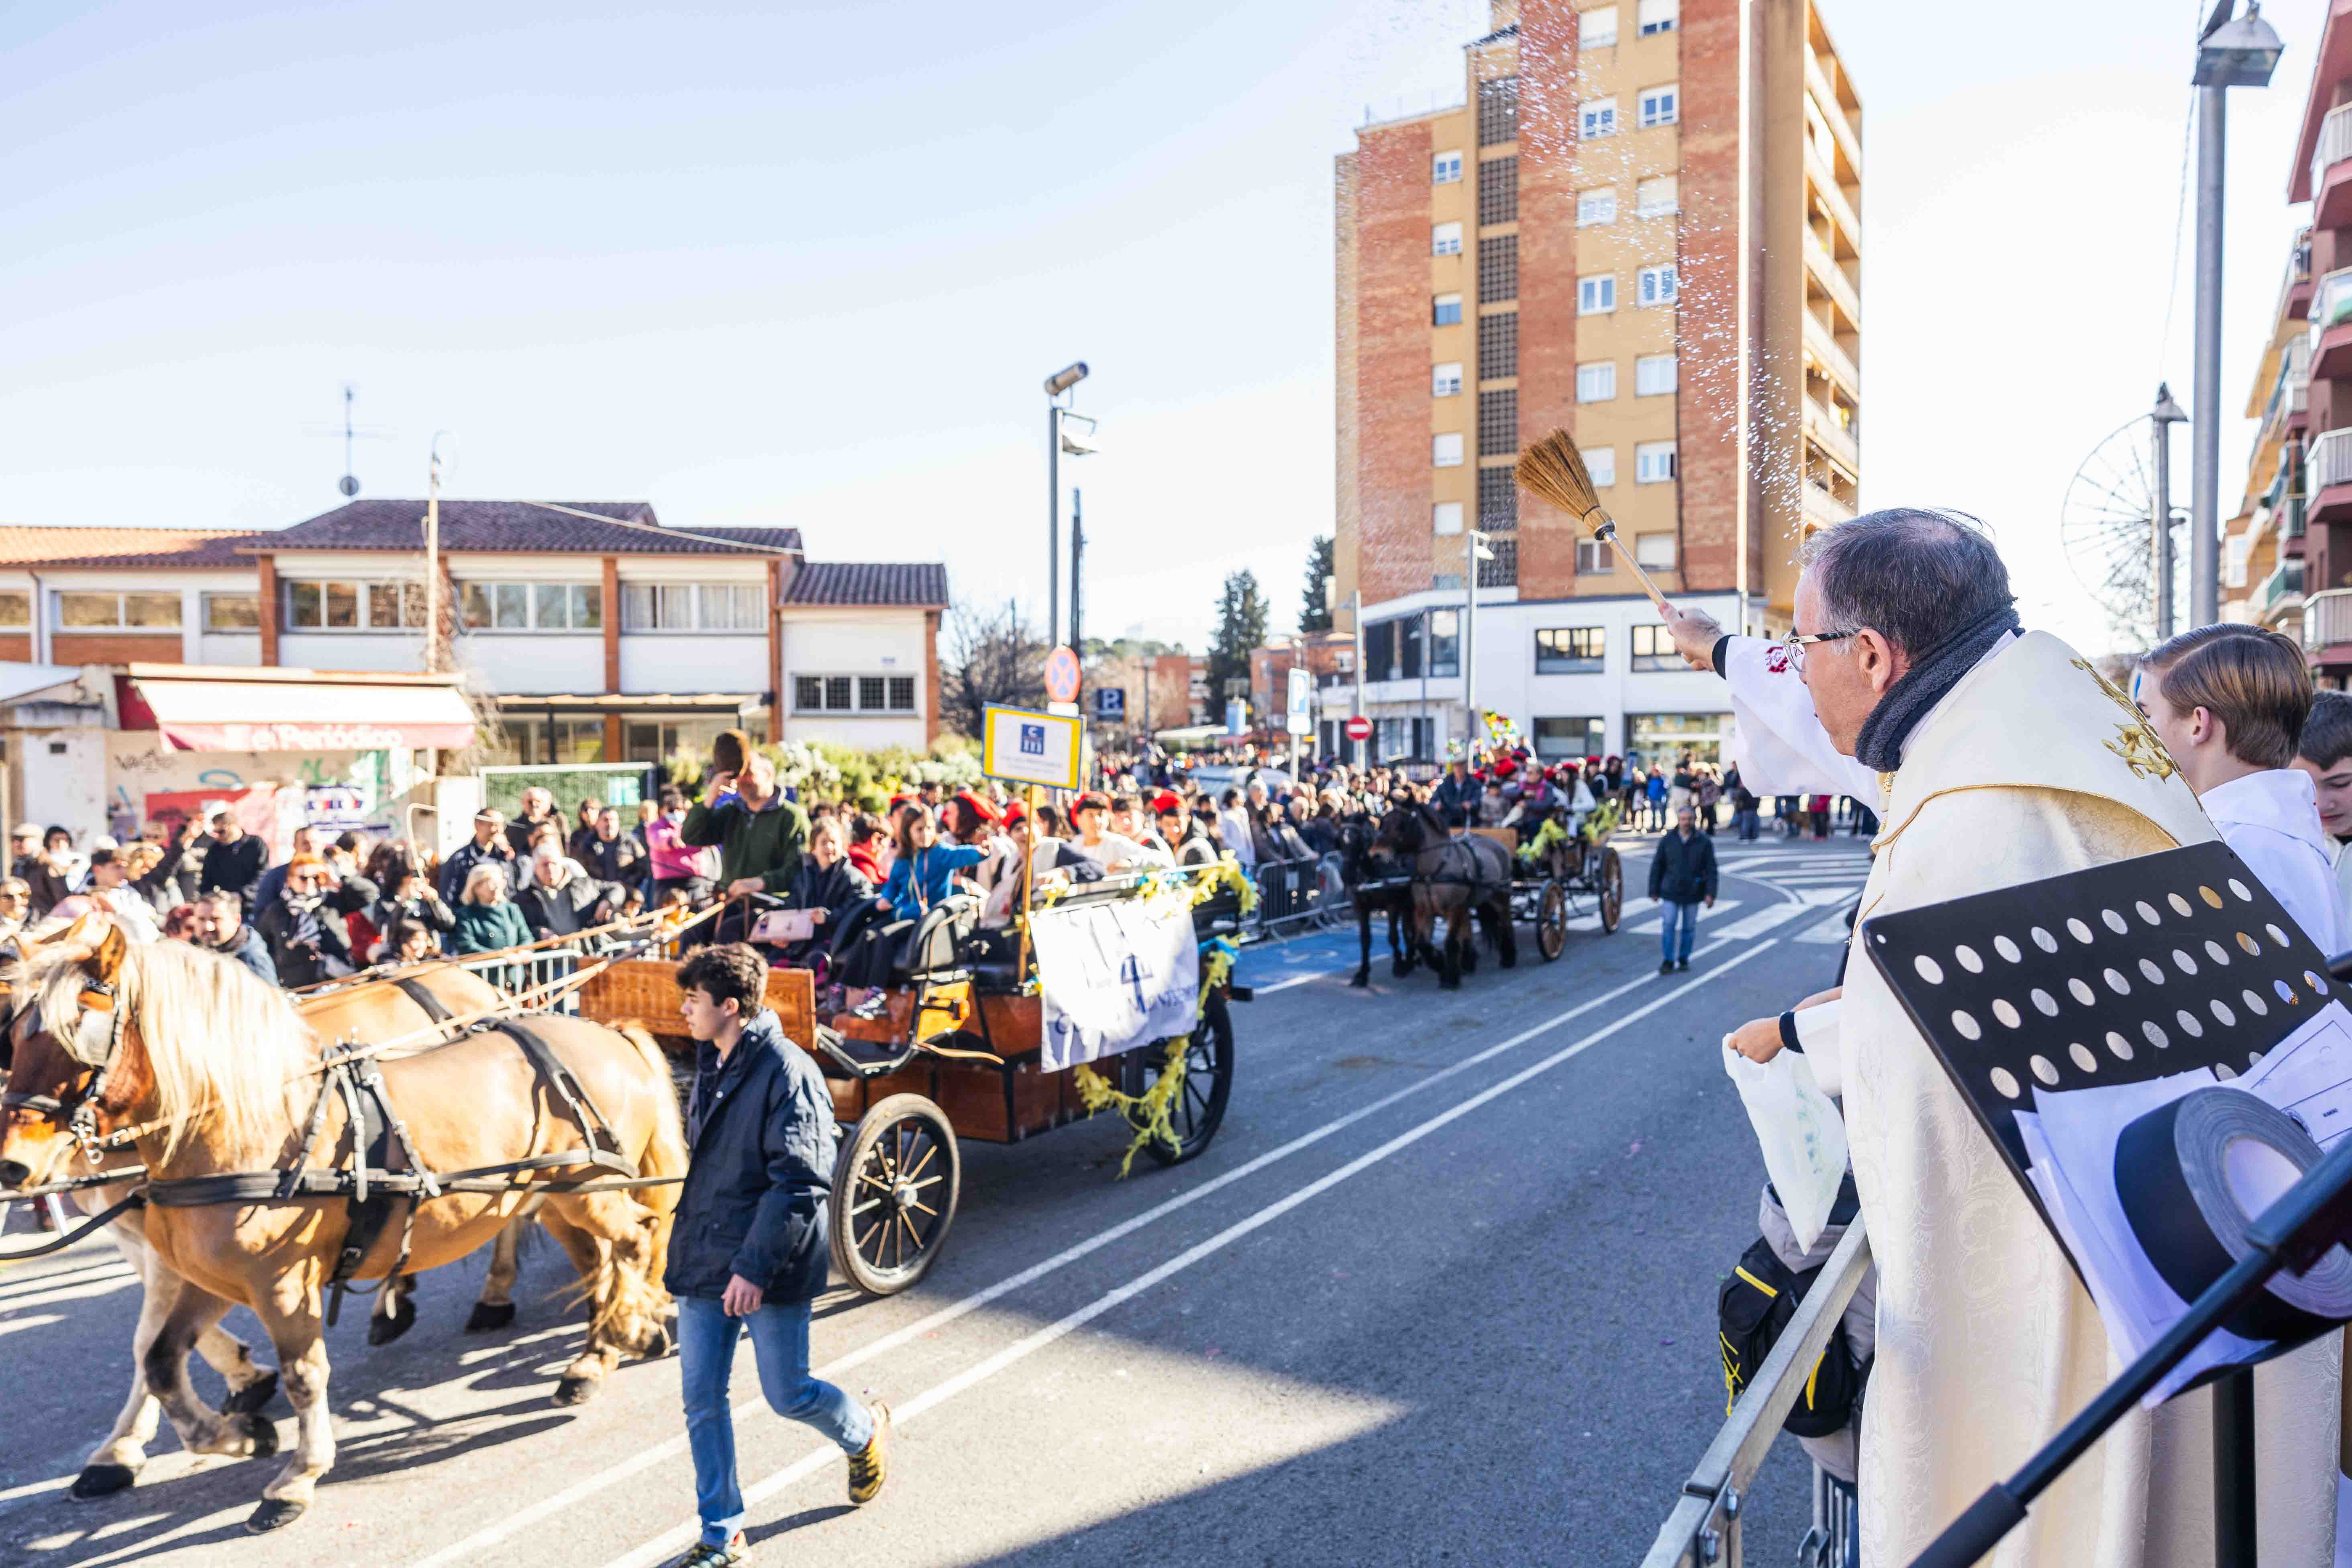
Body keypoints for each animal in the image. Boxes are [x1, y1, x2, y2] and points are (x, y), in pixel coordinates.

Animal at [0, 921, 687, 1533]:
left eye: (77, 1027)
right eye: (15, 1033)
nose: (15, 1164)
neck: (246, 1125)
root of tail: (607, 1034)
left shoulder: (280, 1283)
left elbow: (304, 1375)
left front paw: (296, 1476)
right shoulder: (206, 1277)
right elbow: (160, 1360)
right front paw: (236, 1433)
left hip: (583, 1188)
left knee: (634, 1238)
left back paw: (619, 1335)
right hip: (550, 1194)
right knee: (602, 1256)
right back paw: (601, 1341)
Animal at [1373, 799, 1514, 992]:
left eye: (1402, 824)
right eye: (1382, 822)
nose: (1377, 854)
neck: (1435, 870)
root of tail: (1498, 844)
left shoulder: (1453, 909)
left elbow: (1450, 942)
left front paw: (1450, 978)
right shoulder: (1424, 911)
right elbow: (1422, 943)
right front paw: (1441, 965)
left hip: (1500, 896)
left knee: (1506, 921)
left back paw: (1508, 957)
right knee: (1468, 927)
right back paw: (1468, 963)